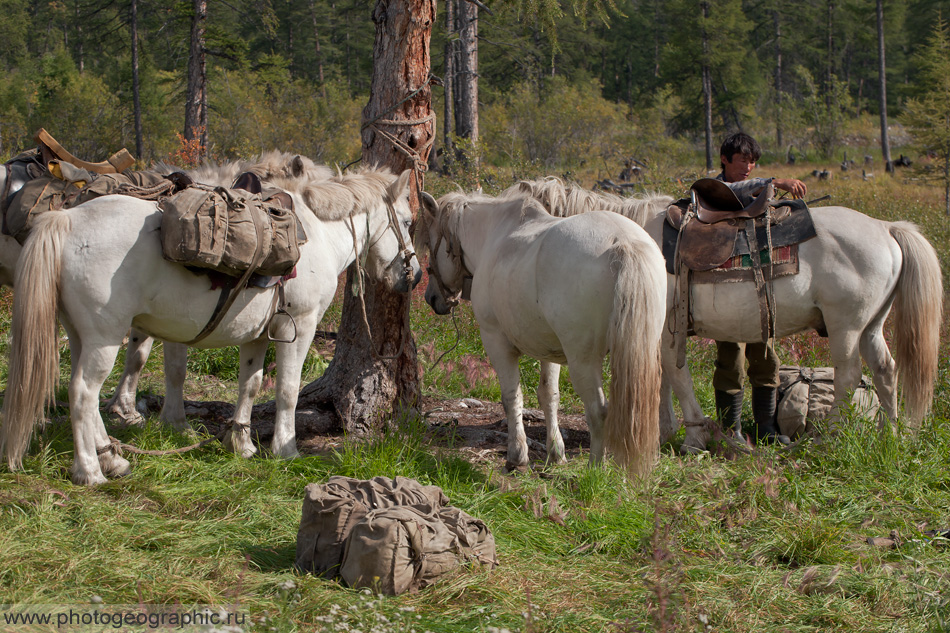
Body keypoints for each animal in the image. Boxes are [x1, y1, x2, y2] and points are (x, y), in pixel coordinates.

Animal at [0, 164, 424, 484]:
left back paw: (111, 458)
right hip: (104, 338)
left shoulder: (258, 335)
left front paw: (241, 444)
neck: (316, 236)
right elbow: (287, 391)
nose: (415, 275)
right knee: (83, 394)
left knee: (84, 394)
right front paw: (285, 449)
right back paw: (90, 470)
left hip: (80, 335)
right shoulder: (298, 330)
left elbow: (250, 384)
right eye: (407, 221)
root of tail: (67, 219)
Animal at [416, 190, 668, 476]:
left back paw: (595, 469)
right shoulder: (551, 350)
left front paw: (517, 455)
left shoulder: (496, 341)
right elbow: (549, 396)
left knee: (598, 410)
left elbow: (512, 397)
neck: (495, 235)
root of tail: (622, 241)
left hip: (583, 361)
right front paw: (556, 452)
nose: (432, 298)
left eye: (430, 244)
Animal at [506, 178, 944, 452]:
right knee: (886, 370)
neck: (627, 241)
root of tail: (887, 227)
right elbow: (662, 380)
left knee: (850, 376)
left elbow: (676, 378)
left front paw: (692, 436)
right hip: (871, 326)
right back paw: (892, 434)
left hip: (846, 327)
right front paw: (664, 432)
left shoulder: (666, 330)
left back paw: (832, 437)